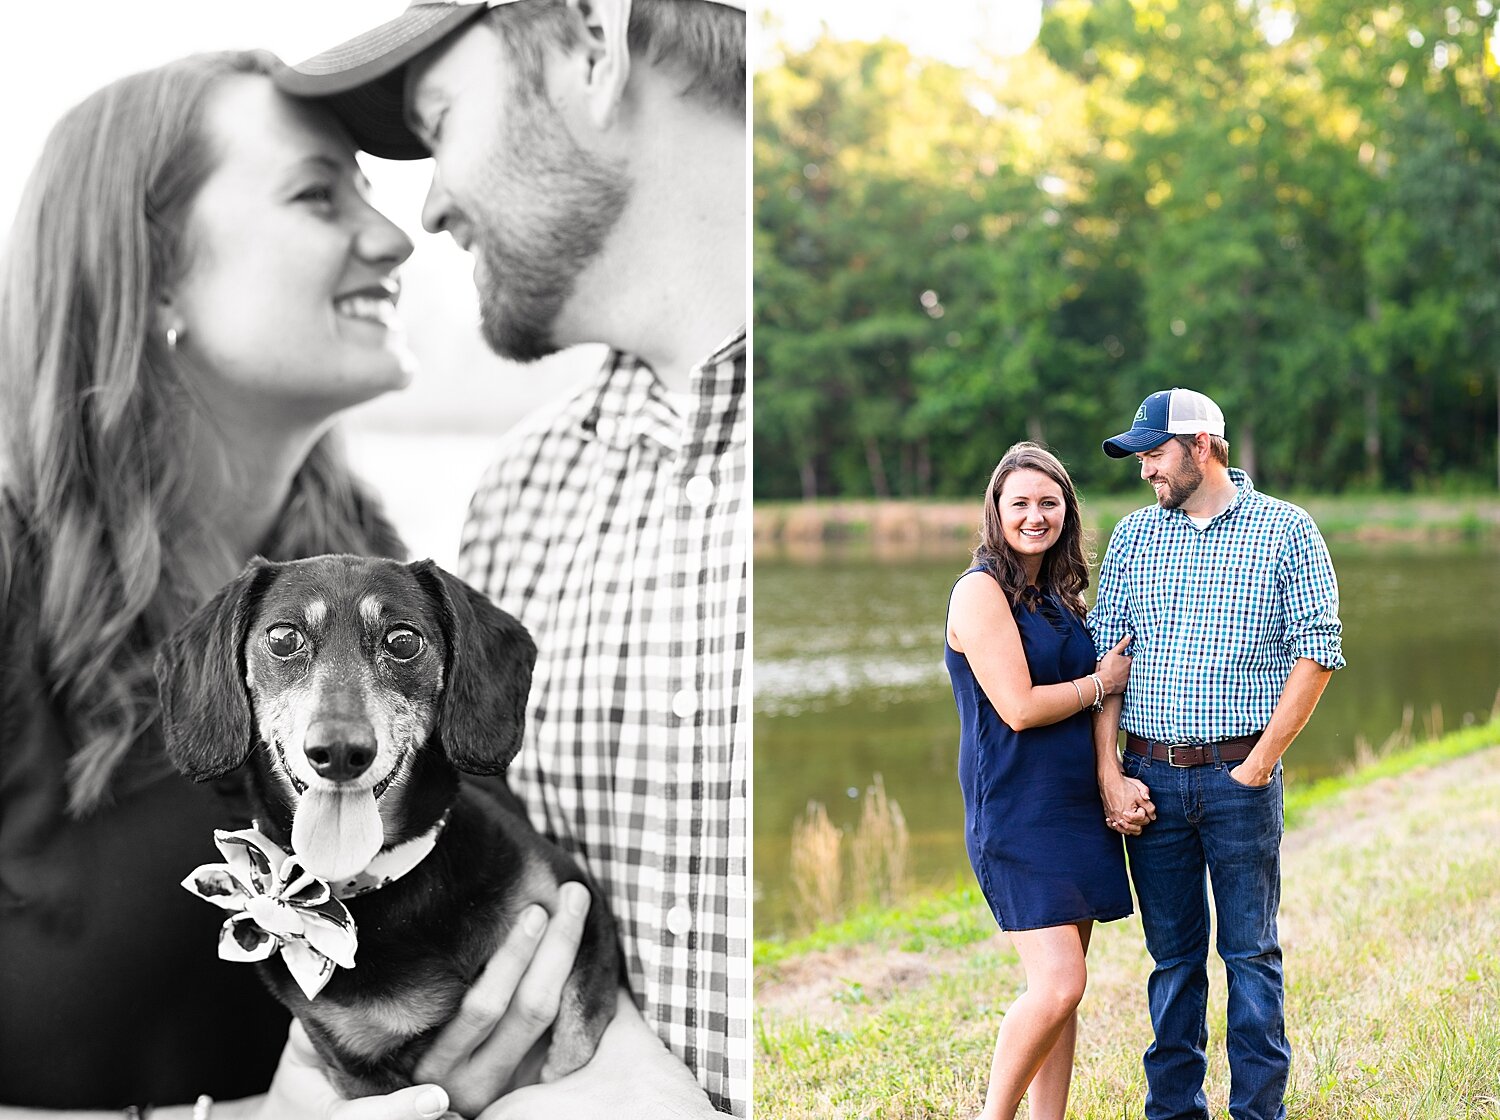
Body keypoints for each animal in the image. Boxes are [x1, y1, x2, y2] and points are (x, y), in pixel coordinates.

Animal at [152, 557, 615, 1097]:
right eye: (284, 637)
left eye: (403, 640)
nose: (339, 752)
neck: (387, 883)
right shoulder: (358, 1067)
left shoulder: (582, 907)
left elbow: (573, 1053)